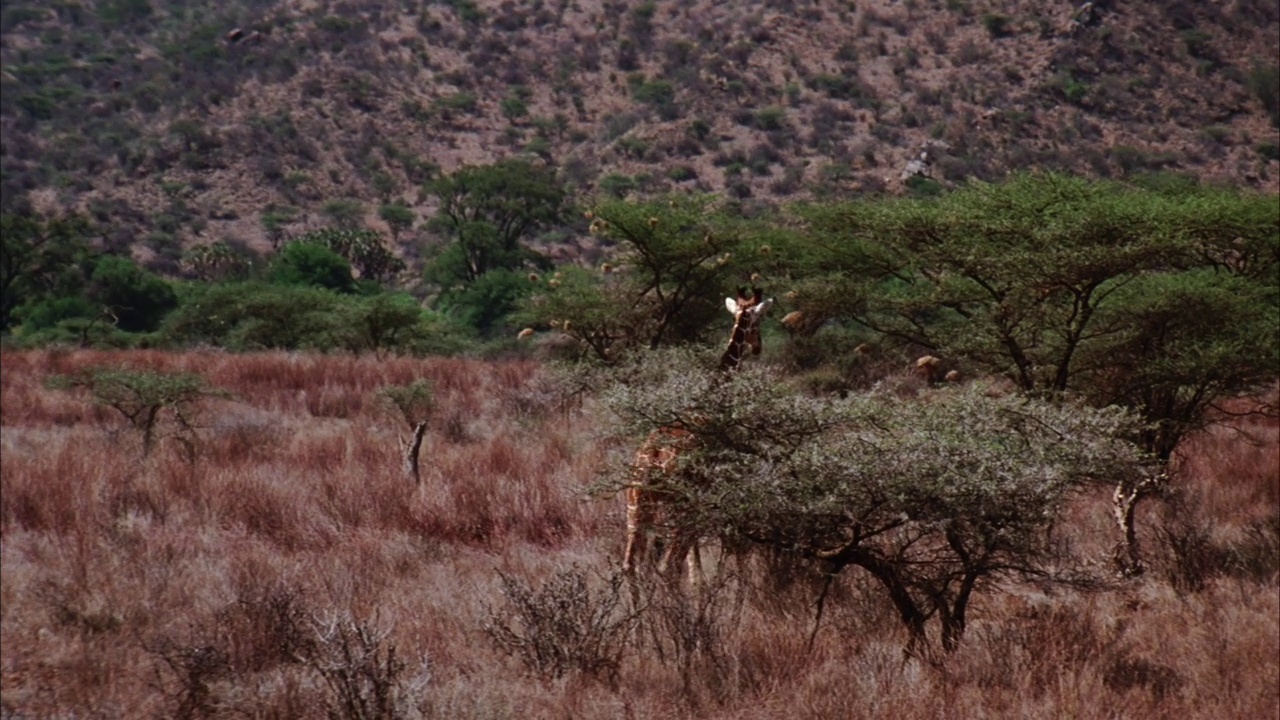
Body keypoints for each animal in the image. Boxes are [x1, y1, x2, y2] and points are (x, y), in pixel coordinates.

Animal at [622, 285, 773, 589]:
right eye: (759, 321)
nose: (758, 347)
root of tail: (649, 464)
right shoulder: (710, 488)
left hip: (636, 508)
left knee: (631, 565)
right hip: (677, 507)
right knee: (668, 565)